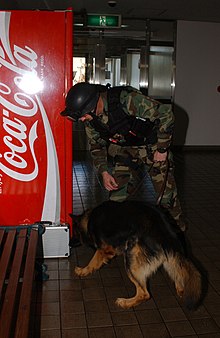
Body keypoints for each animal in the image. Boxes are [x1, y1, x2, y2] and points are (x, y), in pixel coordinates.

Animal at [71, 201, 202, 308]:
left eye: (74, 232)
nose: (69, 243)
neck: (89, 218)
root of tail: (166, 234)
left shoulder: (105, 249)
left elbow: (93, 261)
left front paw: (84, 270)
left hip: (131, 259)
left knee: (144, 294)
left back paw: (126, 302)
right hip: (170, 260)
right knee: (178, 276)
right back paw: (180, 290)